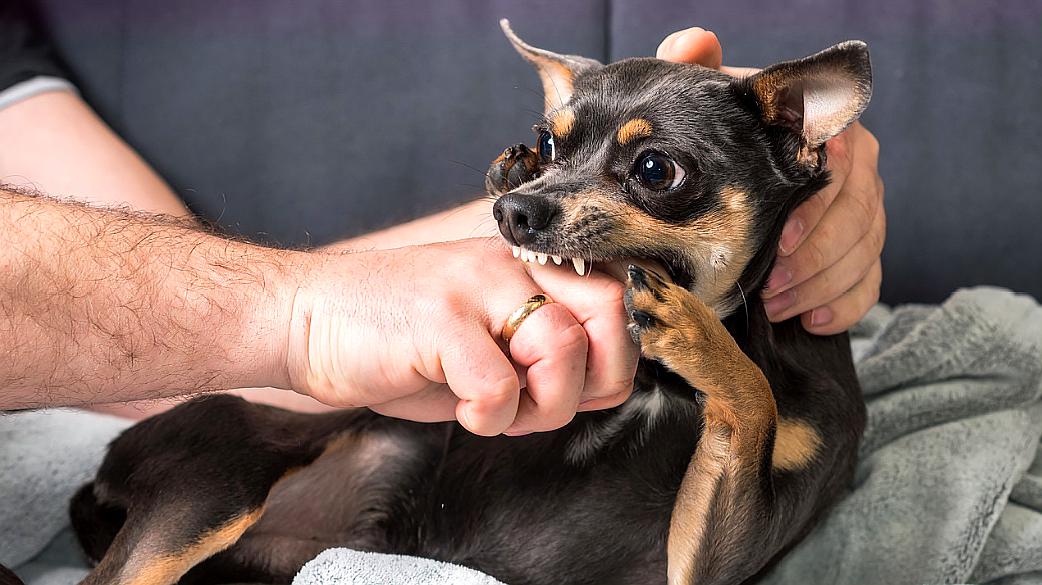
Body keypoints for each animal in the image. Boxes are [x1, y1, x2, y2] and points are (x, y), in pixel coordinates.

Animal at [60, 20, 871, 583]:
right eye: (550, 144)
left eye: (654, 170)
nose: (515, 207)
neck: (657, 385)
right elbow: (755, 394)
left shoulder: (703, 562)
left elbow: (754, 397)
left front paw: (698, 336)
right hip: (222, 480)